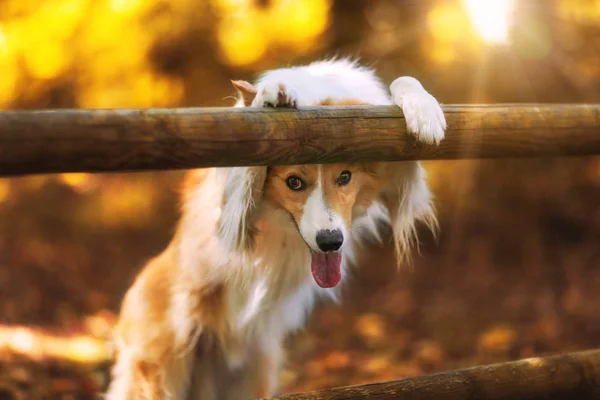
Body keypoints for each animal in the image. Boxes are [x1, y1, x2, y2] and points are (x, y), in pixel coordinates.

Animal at [106, 58, 446, 400]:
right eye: (293, 182)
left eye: (345, 177)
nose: (331, 242)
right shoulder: (228, 201)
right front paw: (273, 94)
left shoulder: (401, 177)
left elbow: (404, 82)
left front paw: (425, 113)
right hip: (166, 370)